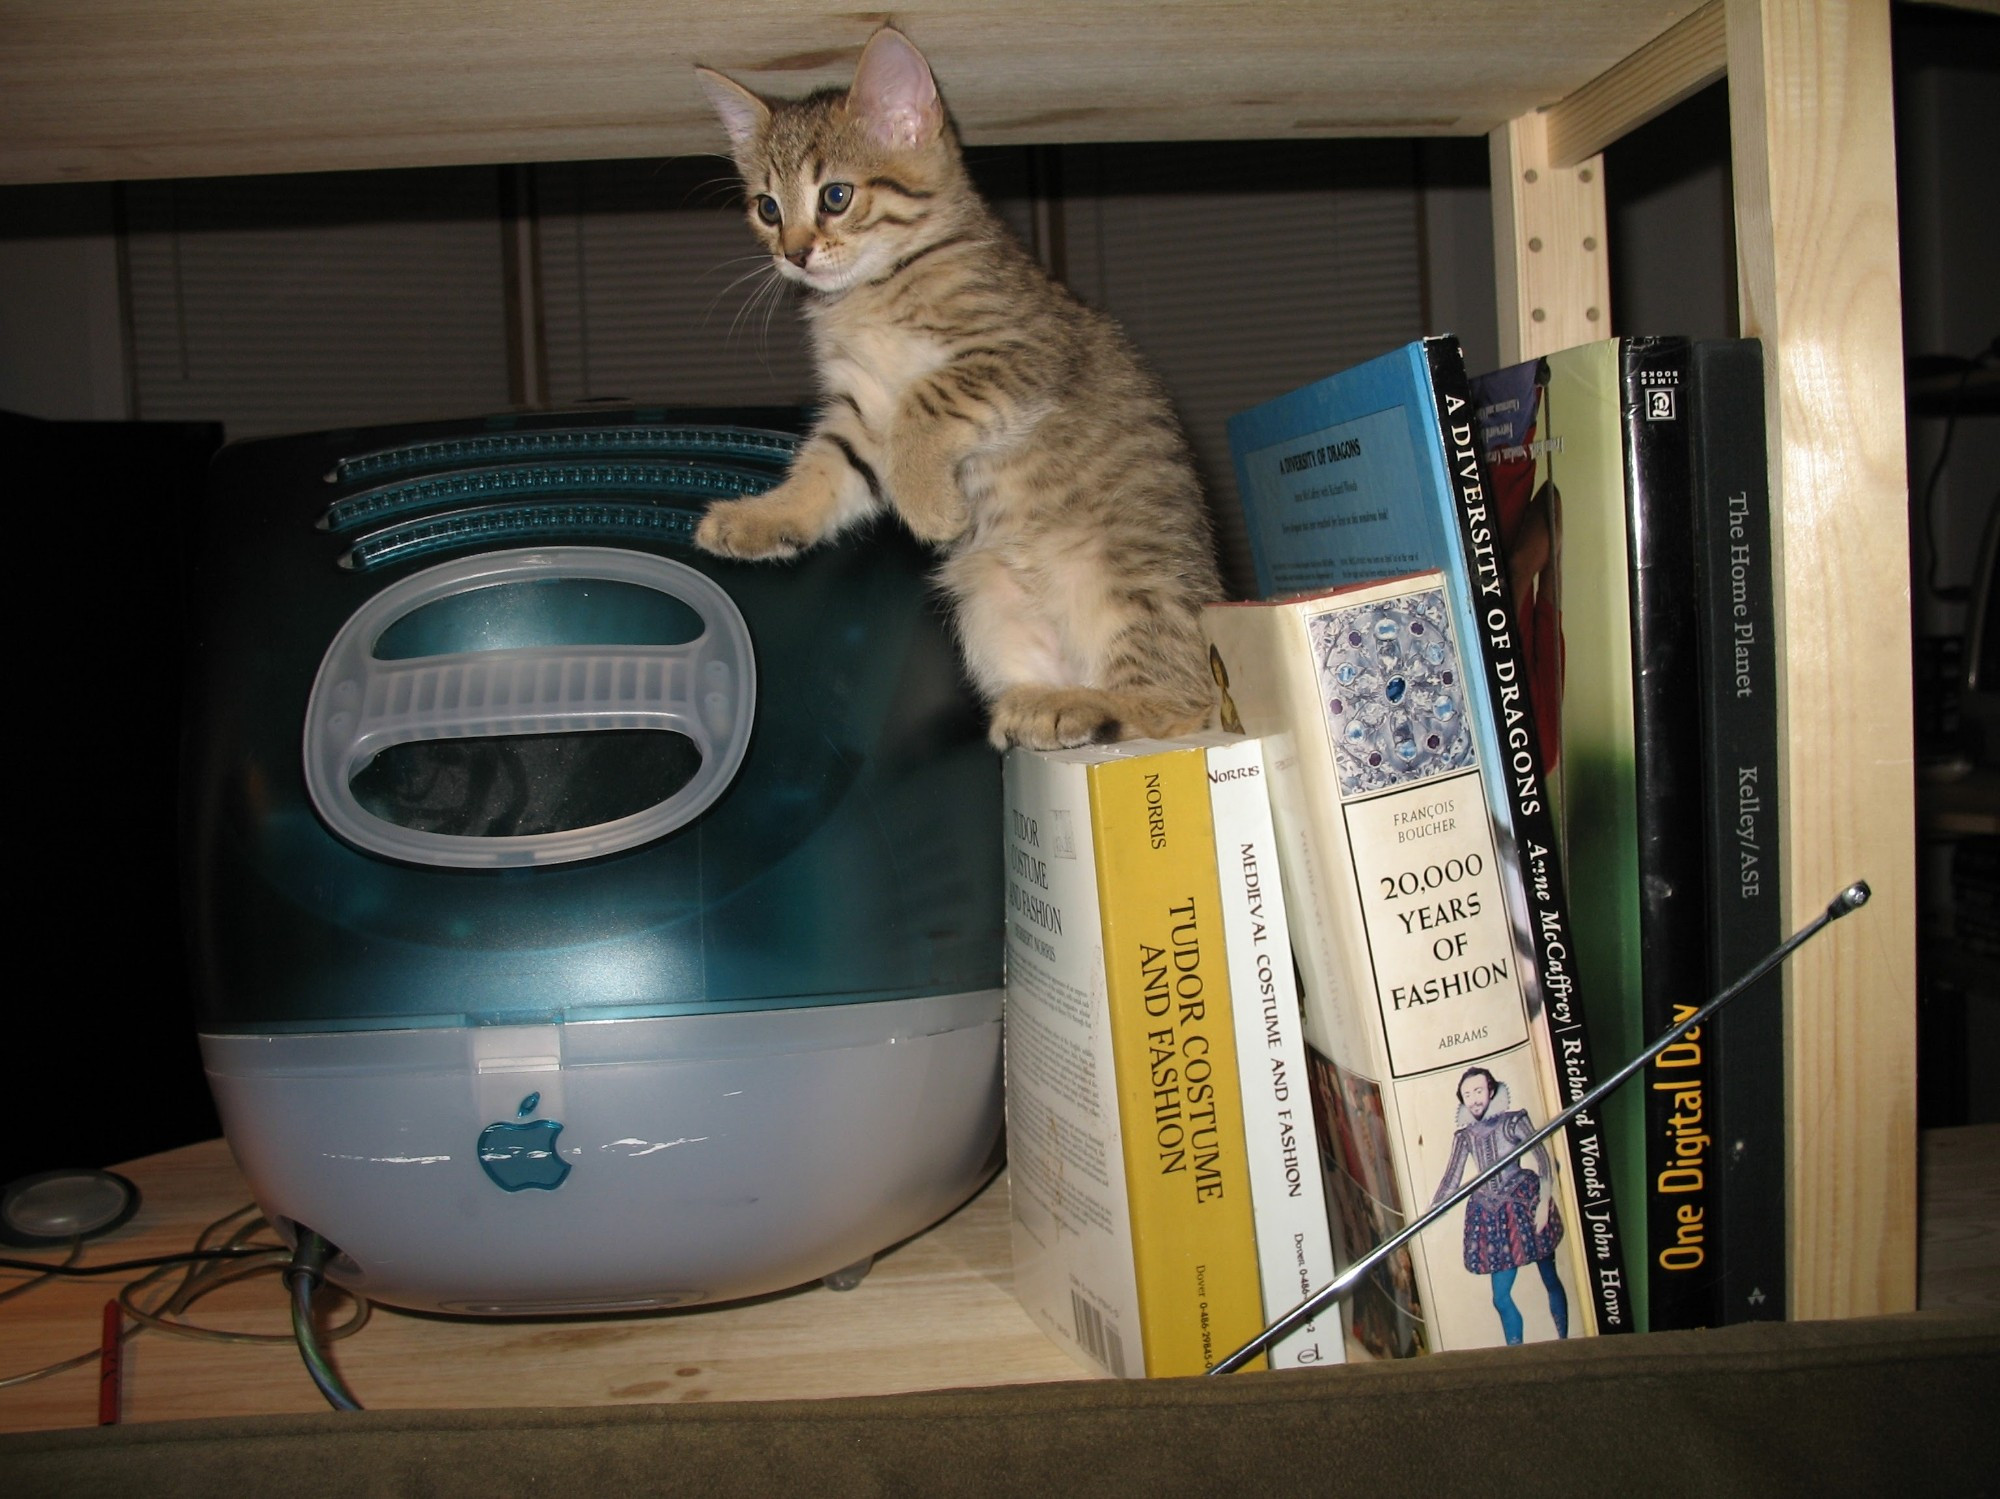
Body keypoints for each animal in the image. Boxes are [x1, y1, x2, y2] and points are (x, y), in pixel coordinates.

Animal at [692, 23, 1216, 751]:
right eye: (767, 207)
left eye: (835, 196)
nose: (793, 253)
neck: (871, 292)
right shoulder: (860, 412)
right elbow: (826, 470)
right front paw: (766, 516)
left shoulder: (1018, 353)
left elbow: (927, 400)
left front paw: (933, 510)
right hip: (984, 603)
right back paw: (1031, 706)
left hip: (1126, 587)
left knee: (1178, 703)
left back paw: (1085, 706)